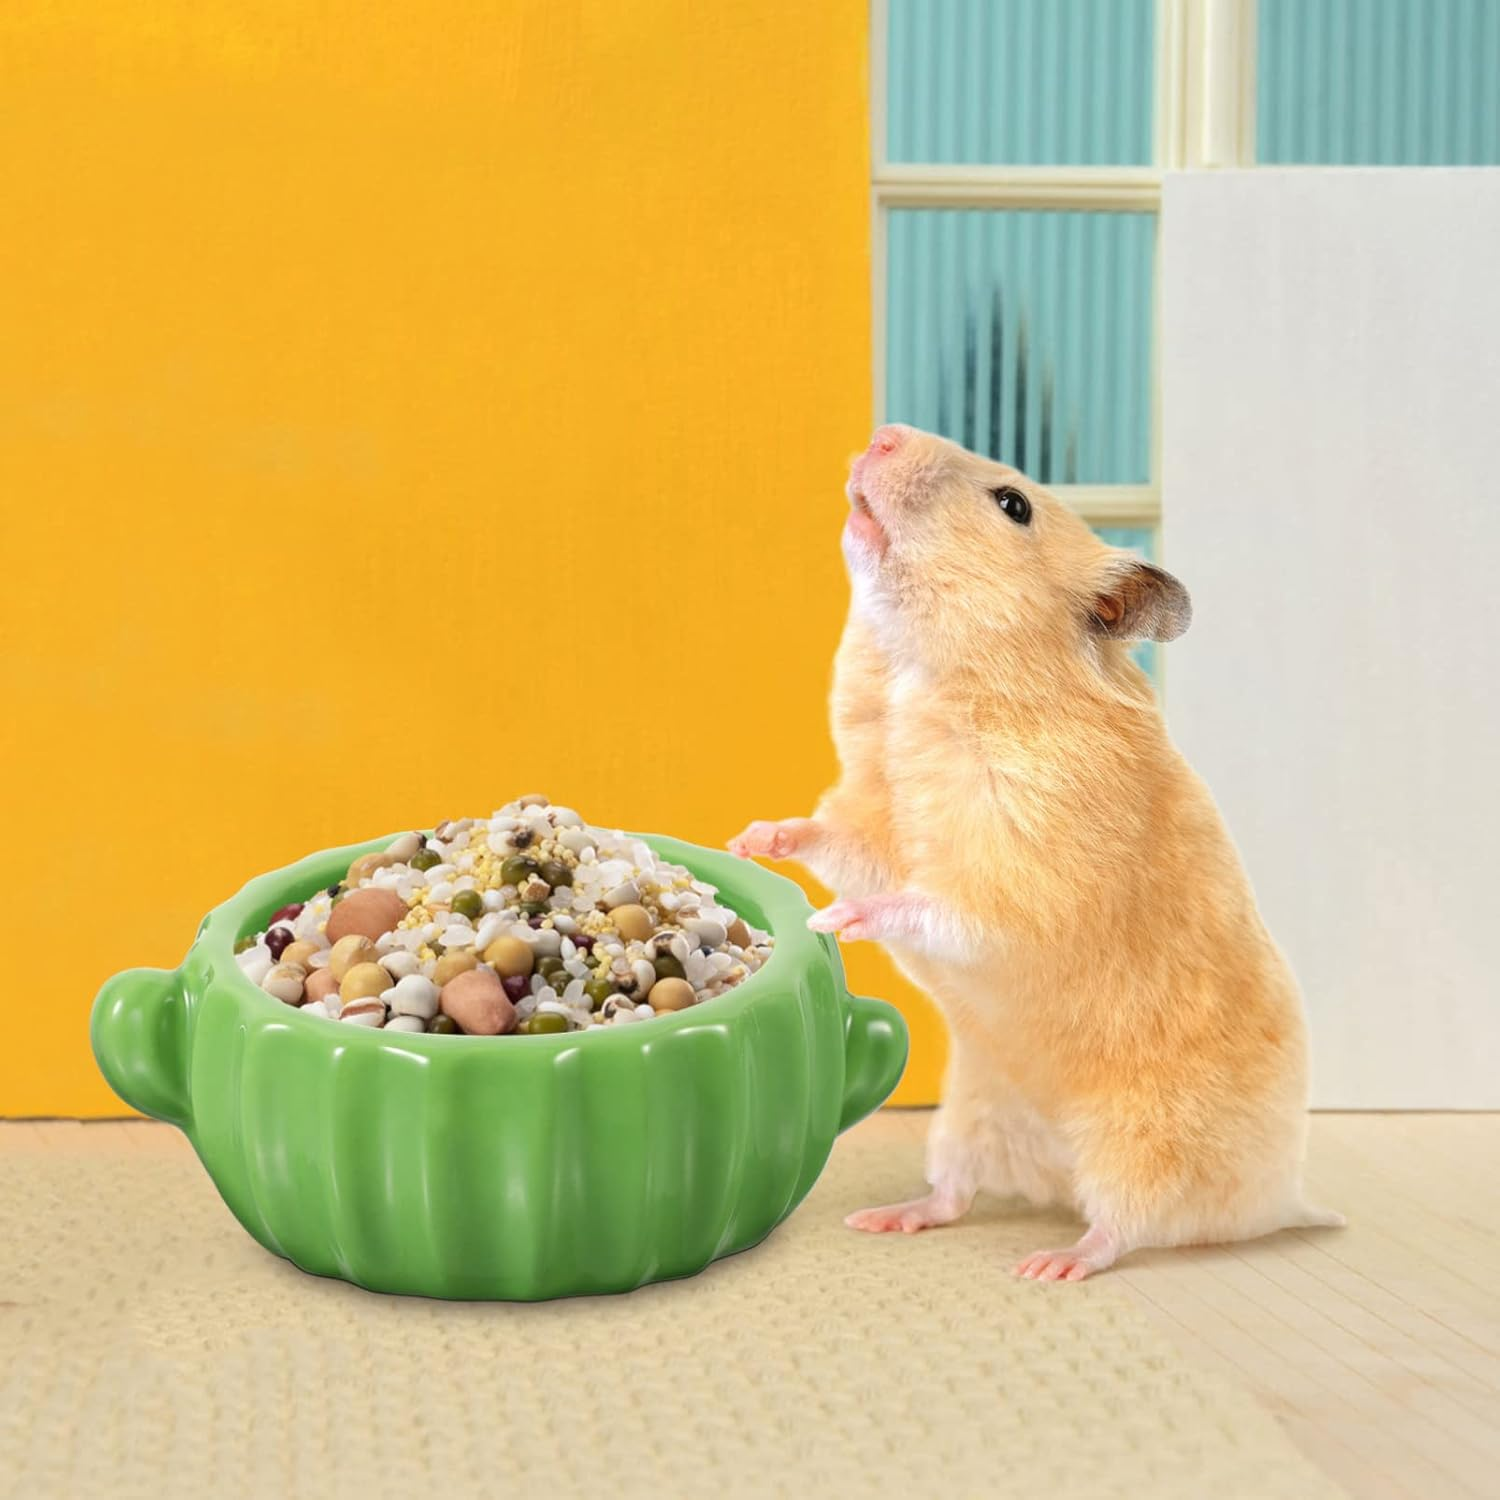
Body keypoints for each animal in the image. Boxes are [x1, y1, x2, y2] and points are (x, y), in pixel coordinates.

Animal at [729, 423, 1342, 1282]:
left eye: (1013, 504)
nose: (882, 436)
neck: (925, 673)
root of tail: (1280, 1199)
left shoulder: (1026, 874)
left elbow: (938, 906)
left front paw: (838, 922)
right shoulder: (878, 821)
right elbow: (834, 839)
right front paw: (753, 839)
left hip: (1143, 1142)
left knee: (1125, 1225)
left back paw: (1053, 1262)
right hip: (973, 1110)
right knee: (956, 1194)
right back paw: (886, 1218)